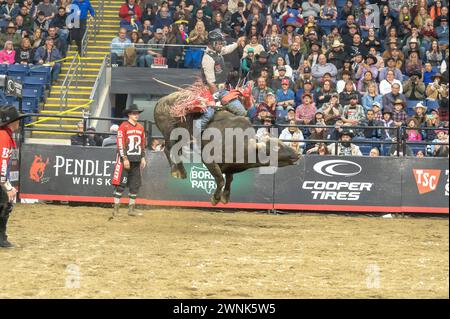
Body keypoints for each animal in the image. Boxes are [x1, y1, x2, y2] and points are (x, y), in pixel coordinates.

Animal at [154, 80, 298, 205]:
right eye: (276, 148)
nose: (297, 154)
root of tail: (161, 100)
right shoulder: (209, 161)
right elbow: (220, 179)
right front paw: (215, 198)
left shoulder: (231, 167)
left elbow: (229, 180)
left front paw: (225, 197)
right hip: (170, 133)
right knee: (168, 149)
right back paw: (176, 171)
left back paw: (181, 171)